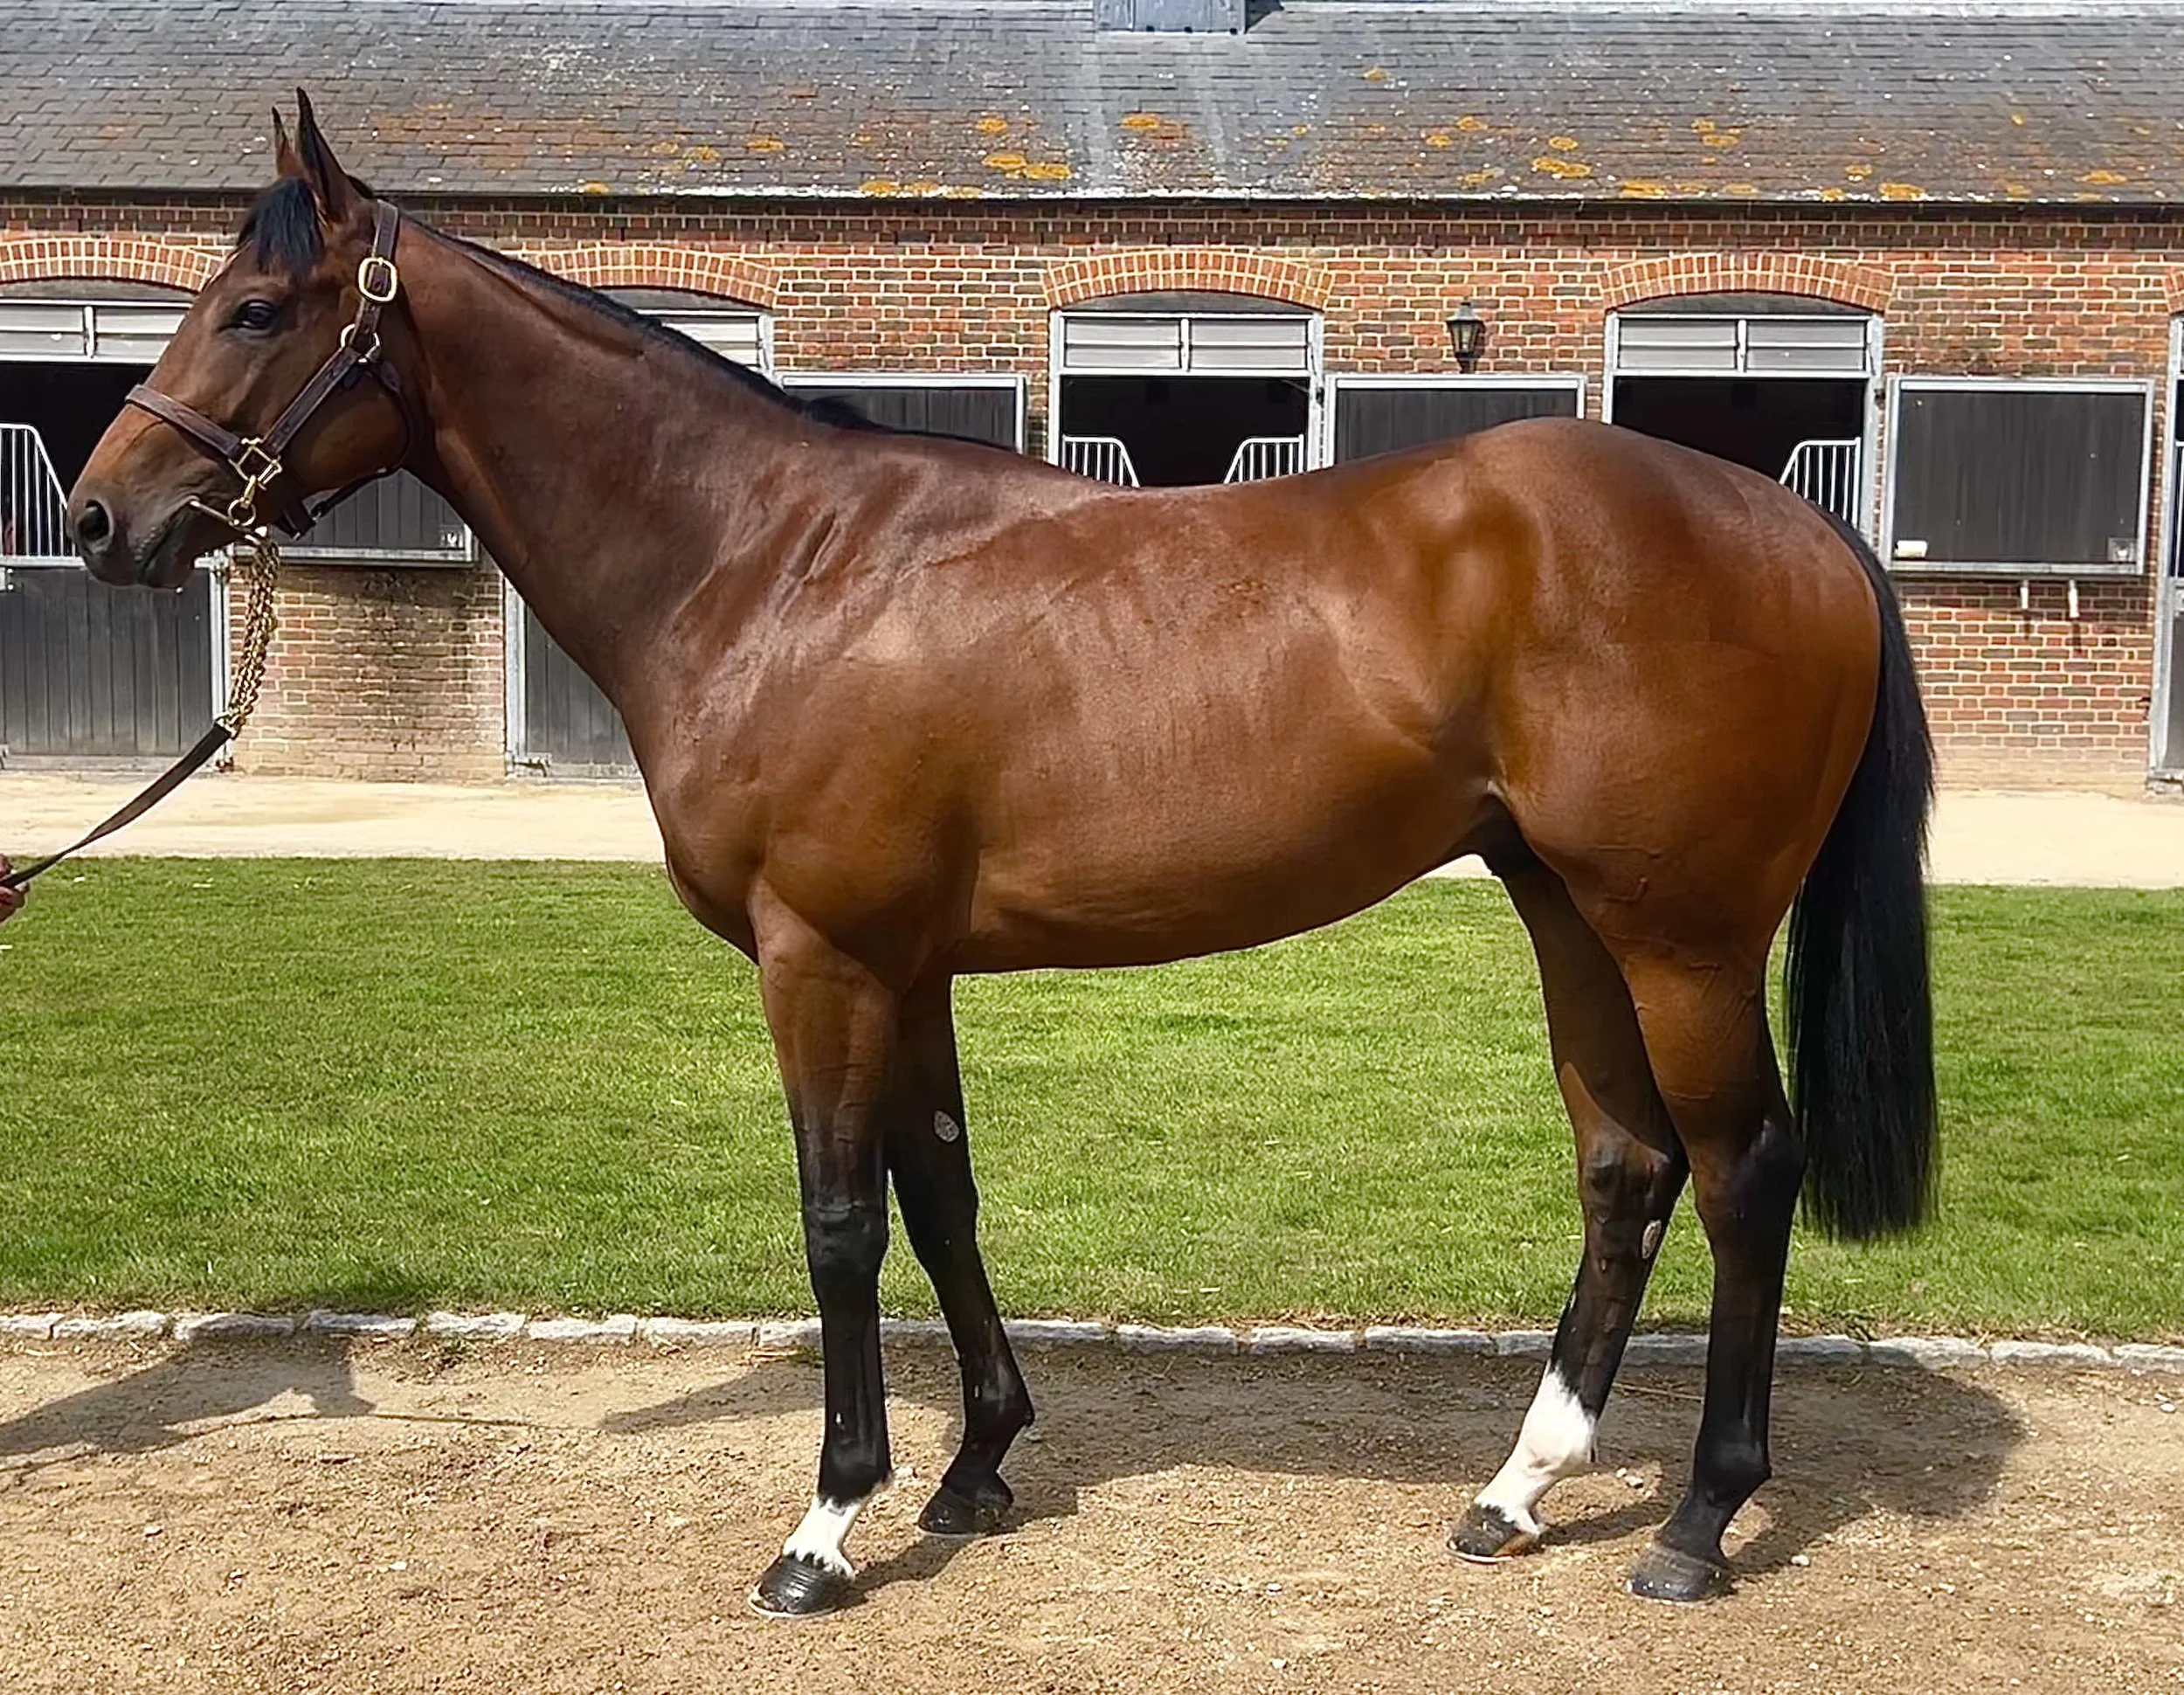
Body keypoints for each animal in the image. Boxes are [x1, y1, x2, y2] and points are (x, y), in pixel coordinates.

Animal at [68, 96, 1935, 1615]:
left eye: (252, 309)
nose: (99, 517)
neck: (772, 562)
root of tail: (1799, 523)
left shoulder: (820, 957)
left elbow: (838, 1219)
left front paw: (827, 1527)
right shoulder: (905, 965)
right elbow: (940, 1189)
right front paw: (975, 1468)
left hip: (1682, 937)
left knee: (1743, 1170)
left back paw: (1696, 1527)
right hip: (1568, 911)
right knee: (1626, 1166)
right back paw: (1518, 1492)